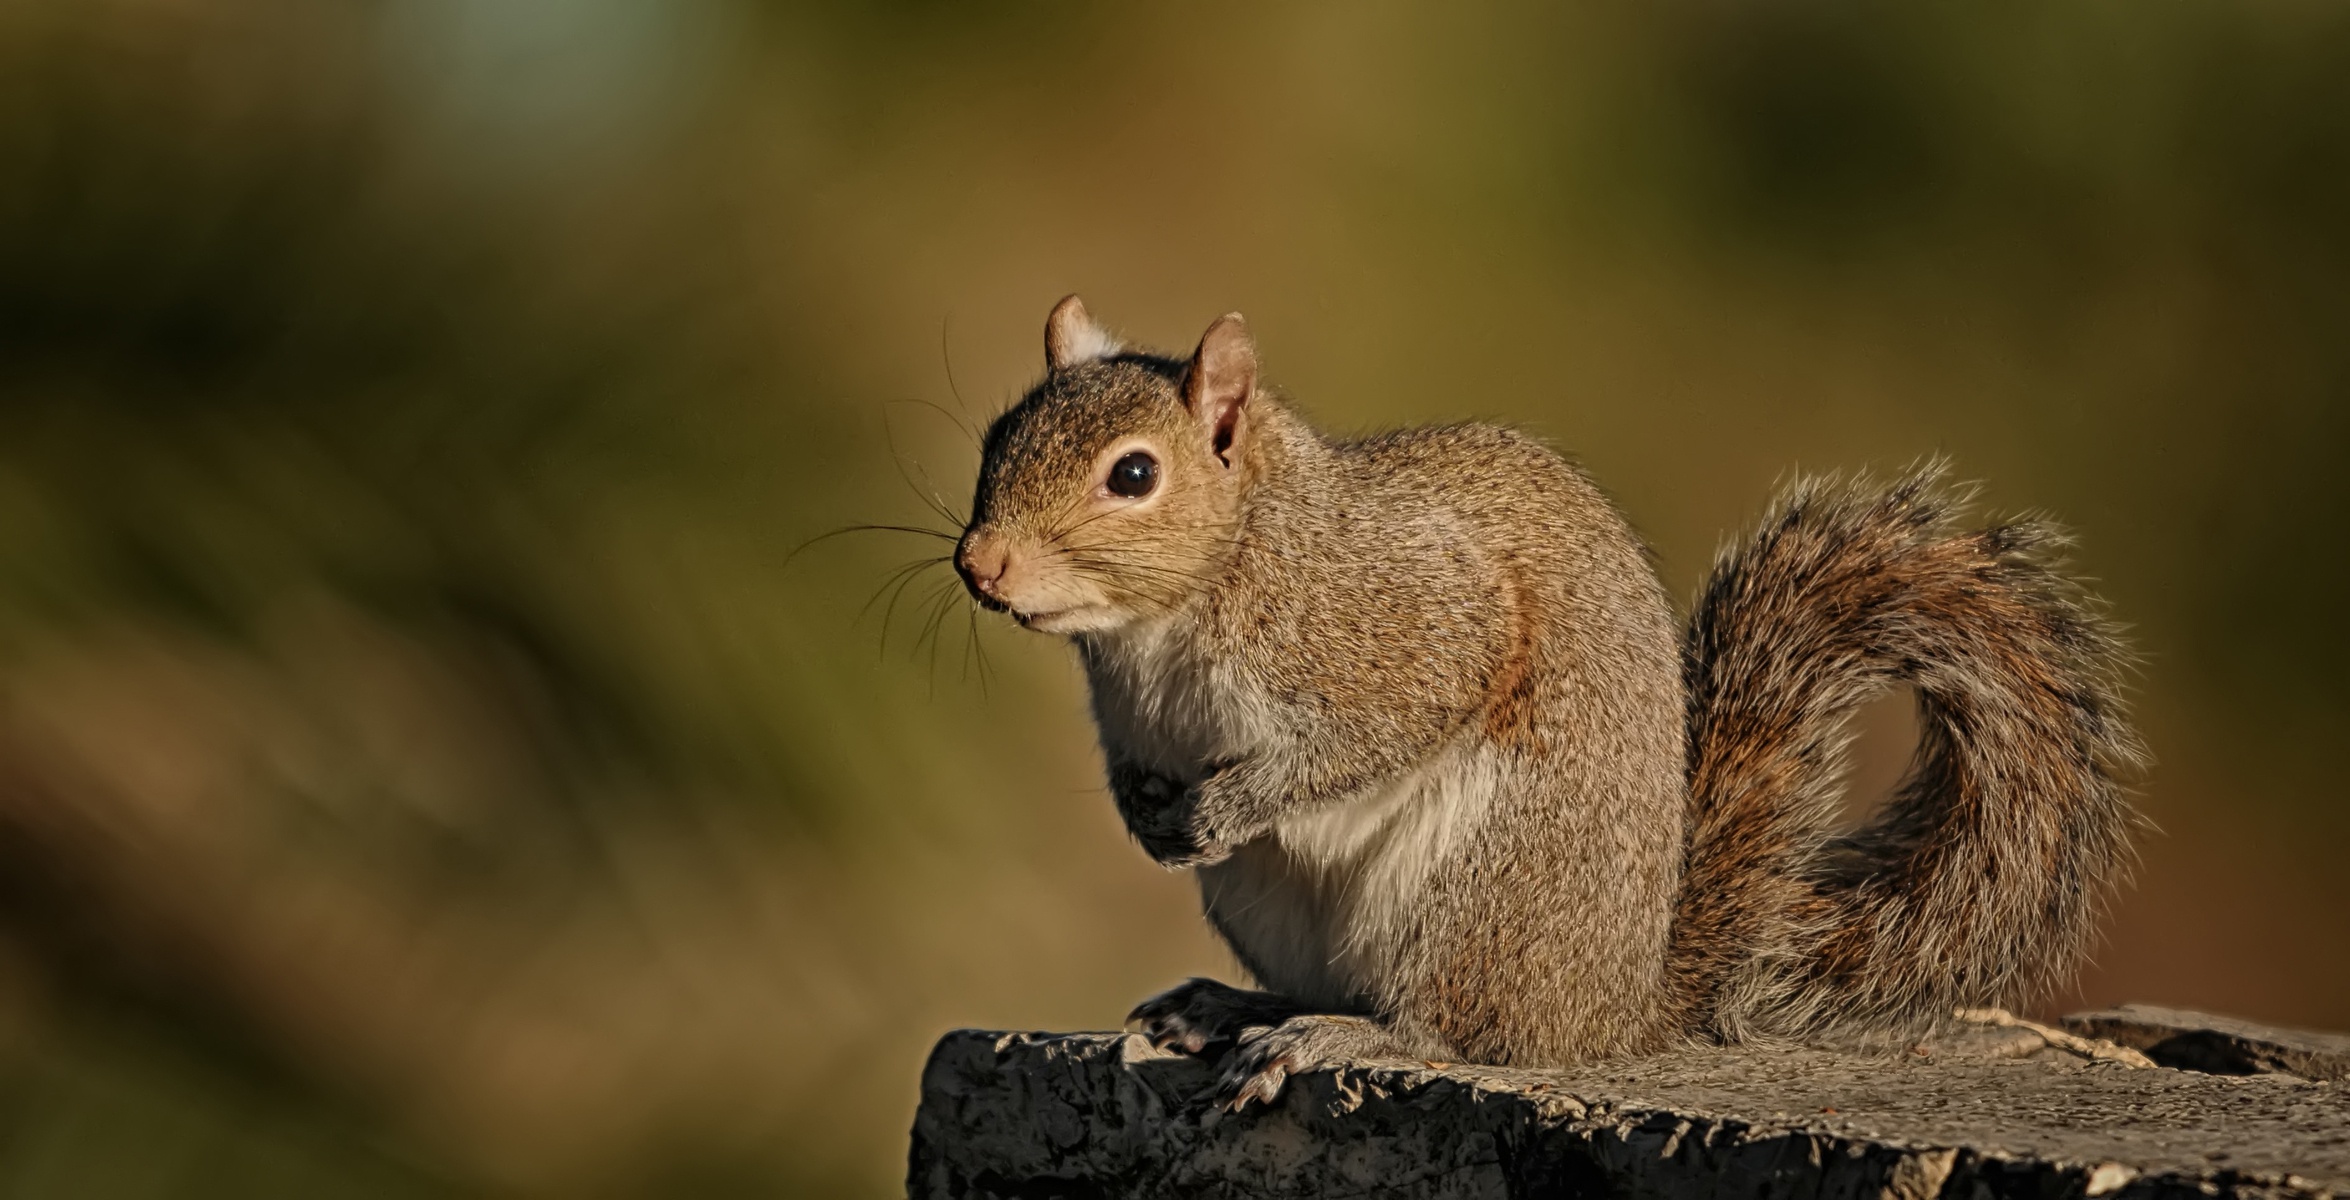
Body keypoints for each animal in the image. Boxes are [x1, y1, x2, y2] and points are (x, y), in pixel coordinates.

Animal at [954, 298, 2152, 1108]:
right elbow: (1137, 775)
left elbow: (1381, 726)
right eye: (996, 438)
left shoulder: (1402, 629)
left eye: (1134, 475)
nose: (981, 564)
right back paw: (1233, 1007)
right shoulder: (1135, 718)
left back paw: (1343, 1038)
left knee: (1463, 1031)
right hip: (1272, 907)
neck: (1160, 625)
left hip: (1479, 886)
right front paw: (1144, 818)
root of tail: (1617, 1006)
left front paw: (1229, 805)